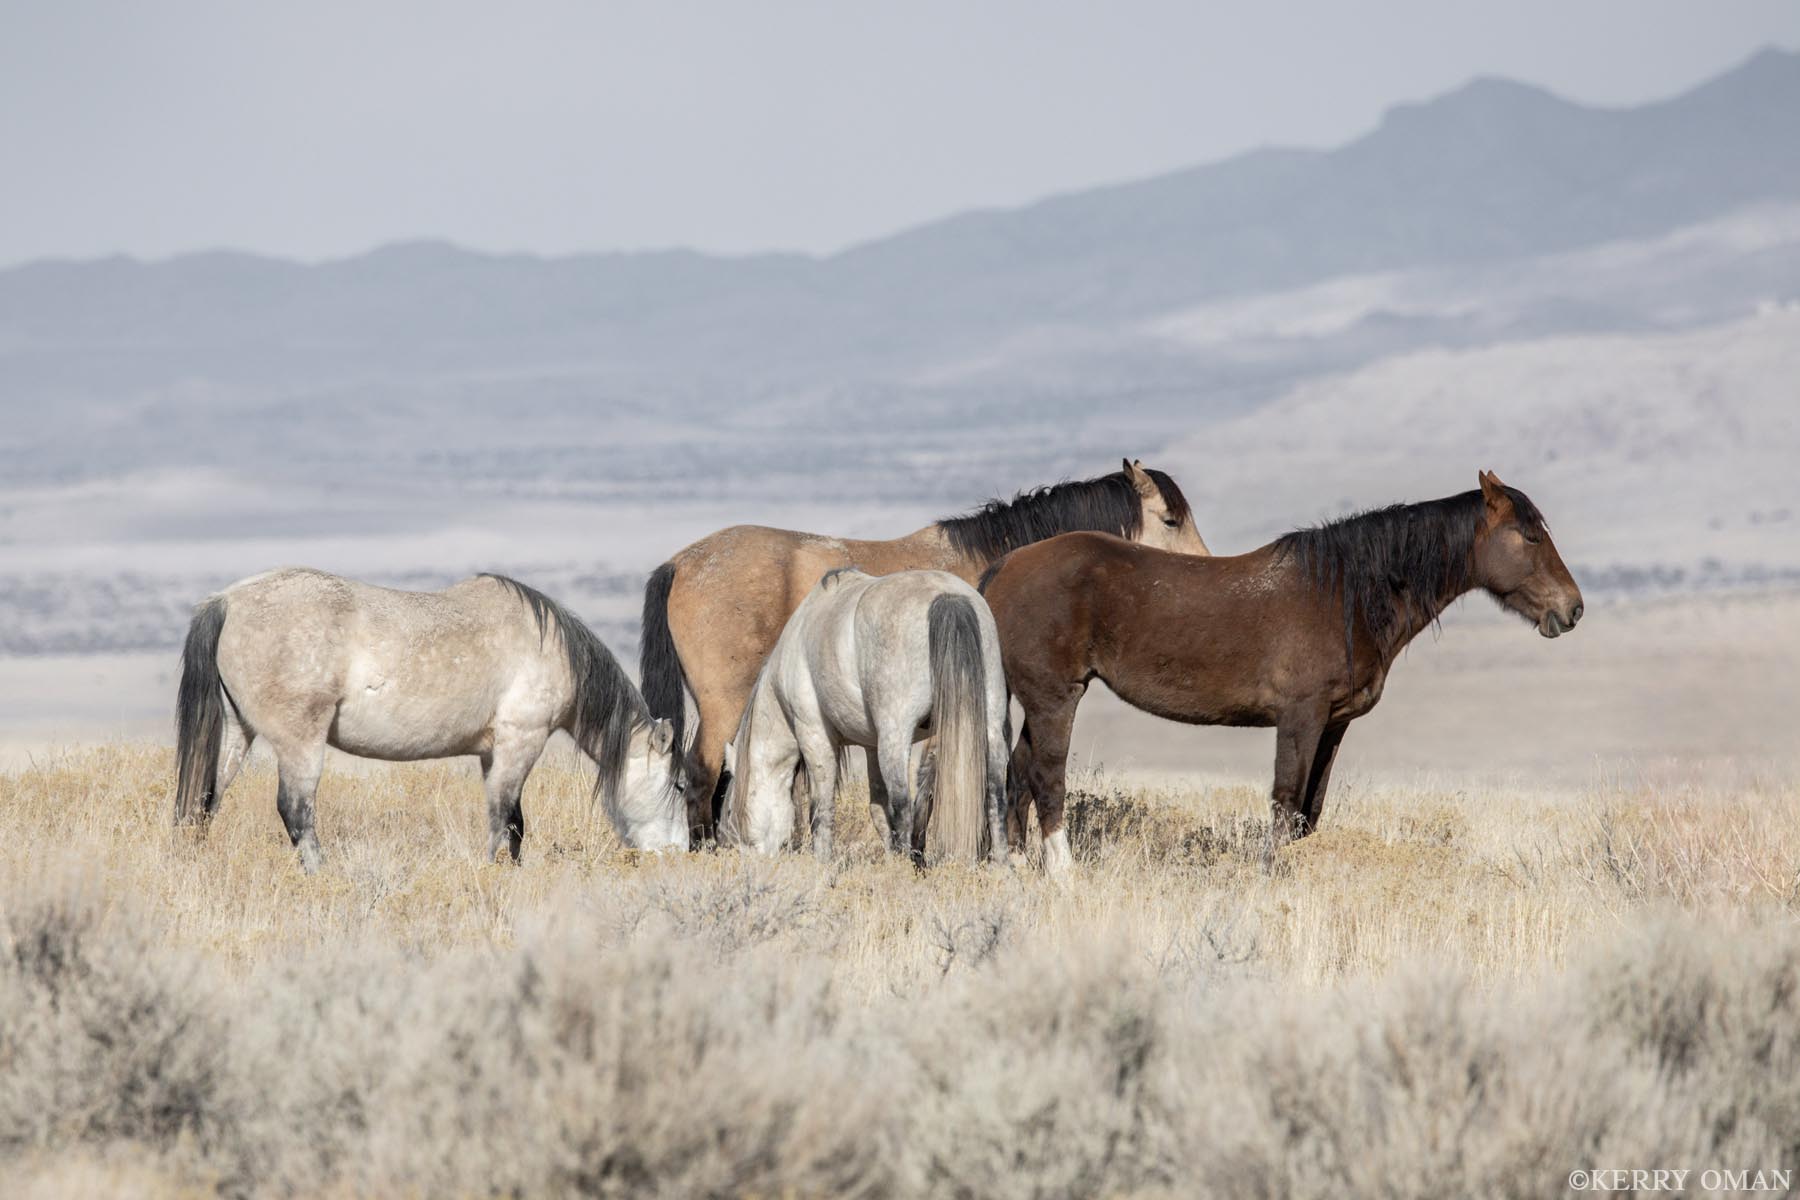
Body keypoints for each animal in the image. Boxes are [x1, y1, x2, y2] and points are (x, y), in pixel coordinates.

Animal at [173, 569, 686, 872]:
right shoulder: (522, 742)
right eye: (679, 786)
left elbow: (512, 820)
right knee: (296, 811)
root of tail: (227, 602)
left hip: (237, 732)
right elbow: (504, 819)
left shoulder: (493, 754)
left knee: (204, 799)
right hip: (300, 742)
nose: (680, 853)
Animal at [718, 568, 1010, 866]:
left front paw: (822, 862)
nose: (737, 854)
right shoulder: (871, 746)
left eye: (730, 812)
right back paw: (1001, 865)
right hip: (990, 728)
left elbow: (821, 809)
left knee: (903, 806)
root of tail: (947, 596)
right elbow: (878, 810)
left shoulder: (815, 736)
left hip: (896, 738)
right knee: (995, 796)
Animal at [979, 471, 1583, 876]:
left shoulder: (1334, 723)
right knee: (1047, 777)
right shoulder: (1300, 717)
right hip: (1056, 698)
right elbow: (1286, 799)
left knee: (1018, 774)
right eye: (1530, 537)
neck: (1343, 593)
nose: (1573, 609)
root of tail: (1003, 567)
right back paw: (1063, 876)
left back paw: (1015, 870)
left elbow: (1309, 810)